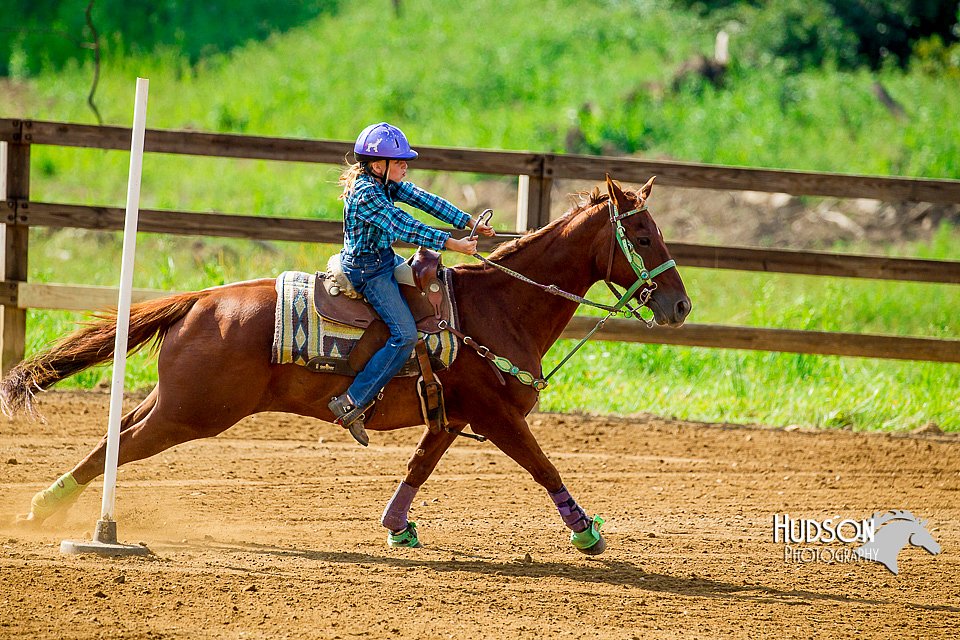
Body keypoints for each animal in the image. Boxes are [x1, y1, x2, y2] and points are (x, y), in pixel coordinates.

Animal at [1, 172, 688, 552]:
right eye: (643, 235)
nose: (681, 305)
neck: (498, 306)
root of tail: (200, 298)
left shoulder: (456, 413)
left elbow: (420, 465)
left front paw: (397, 527)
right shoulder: (497, 414)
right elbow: (544, 467)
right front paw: (587, 532)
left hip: (174, 400)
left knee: (114, 433)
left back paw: (52, 504)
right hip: (193, 413)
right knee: (121, 444)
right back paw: (54, 510)